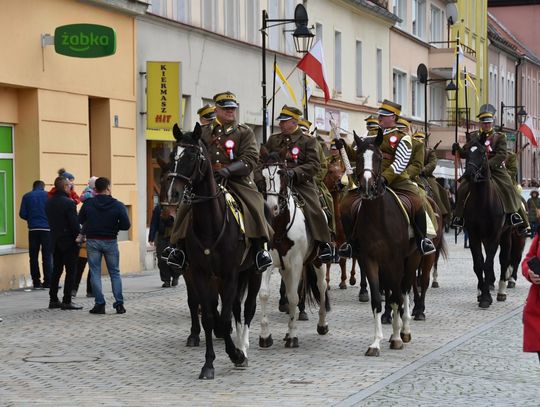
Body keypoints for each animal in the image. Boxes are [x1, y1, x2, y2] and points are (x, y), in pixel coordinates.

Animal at [162, 123, 264, 380]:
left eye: (192, 156)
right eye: (173, 155)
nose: (173, 194)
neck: (211, 224)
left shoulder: (229, 274)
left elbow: (224, 318)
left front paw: (236, 354)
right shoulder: (200, 273)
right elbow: (208, 316)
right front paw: (208, 364)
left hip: (254, 273)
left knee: (248, 309)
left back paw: (244, 347)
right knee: (235, 308)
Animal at [258, 148, 330, 350]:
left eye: (282, 174)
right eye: (263, 175)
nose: (271, 207)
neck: (279, 226)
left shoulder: (297, 263)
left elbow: (293, 297)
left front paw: (292, 336)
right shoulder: (269, 262)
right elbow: (264, 294)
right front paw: (265, 335)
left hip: (318, 261)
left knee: (321, 286)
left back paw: (322, 324)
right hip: (285, 268)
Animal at [340, 132, 420, 356]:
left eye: (378, 158)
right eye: (359, 157)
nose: (367, 186)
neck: (378, 218)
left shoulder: (395, 261)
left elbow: (395, 298)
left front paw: (396, 337)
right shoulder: (370, 260)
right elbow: (377, 299)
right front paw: (375, 342)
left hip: (412, 258)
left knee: (404, 290)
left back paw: (405, 330)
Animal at [462, 135, 512, 308]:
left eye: (483, 153)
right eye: (465, 152)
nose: (469, 174)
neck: (483, 203)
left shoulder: (495, 235)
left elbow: (489, 263)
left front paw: (486, 297)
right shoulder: (473, 235)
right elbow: (479, 263)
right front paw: (481, 293)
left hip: (505, 235)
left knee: (503, 259)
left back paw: (502, 291)